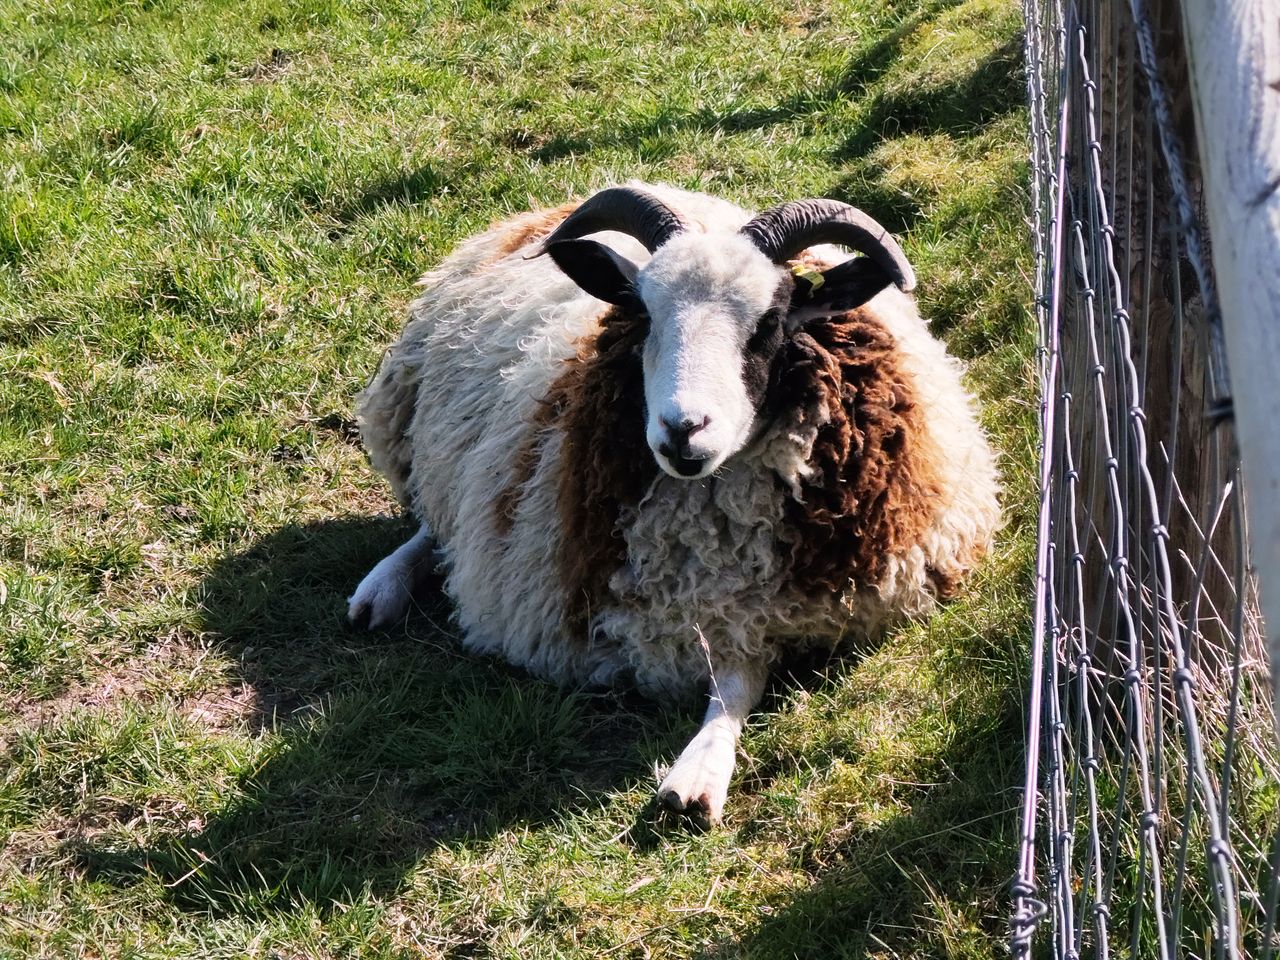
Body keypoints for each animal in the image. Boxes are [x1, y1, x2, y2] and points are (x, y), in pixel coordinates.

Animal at [347, 182, 1001, 825]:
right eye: (642, 314)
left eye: (770, 322)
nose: (683, 430)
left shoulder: (772, 612)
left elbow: (737, 681)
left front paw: (697, 773)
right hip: (416, 434)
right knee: (437, 528)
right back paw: (379, 590)